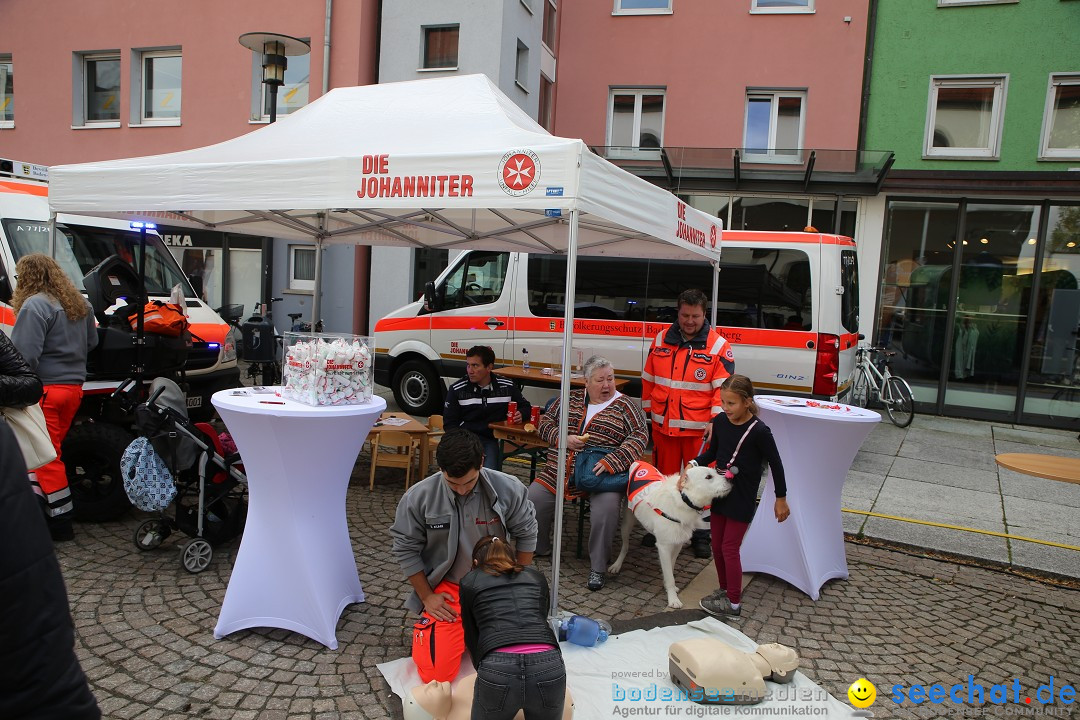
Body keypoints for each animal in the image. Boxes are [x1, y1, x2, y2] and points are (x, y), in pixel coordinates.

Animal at [609, 462, 734, 608]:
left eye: (715, 472)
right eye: (708, 477)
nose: (731, 479)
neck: (684, 500)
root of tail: (638, 461)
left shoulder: (677, 543)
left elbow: (671, 568)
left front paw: (670, 588)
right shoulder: (664, 547)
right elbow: (669, 576)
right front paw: (673, 599)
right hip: (627, 524)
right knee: (625, 547)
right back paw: (616, 565)